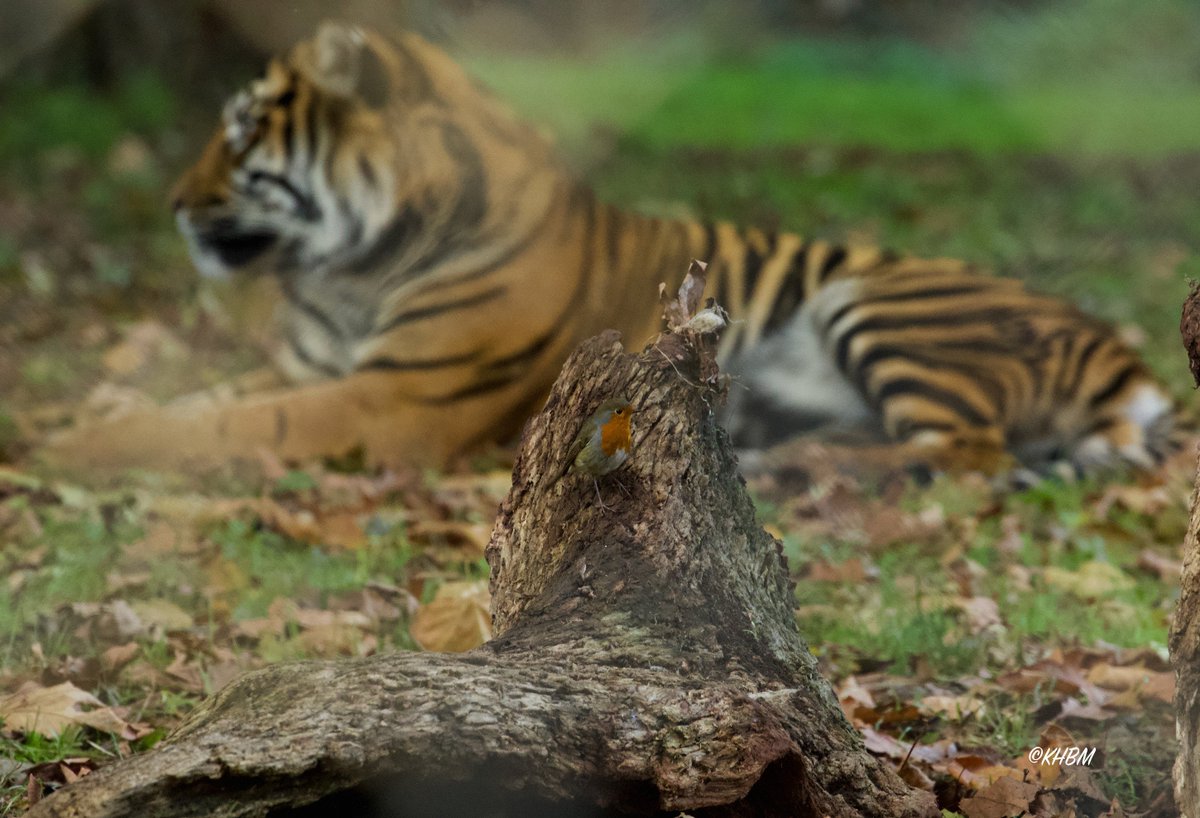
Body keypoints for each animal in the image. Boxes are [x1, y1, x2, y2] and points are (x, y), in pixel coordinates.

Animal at [41, 21, 1174, 478]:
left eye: (239, 133)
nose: (174, 204)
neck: (351, 267)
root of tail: (1128, 352)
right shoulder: (319, 368)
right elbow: (205, 401)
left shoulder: (395, 399)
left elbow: (221, 425)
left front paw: (68, 444)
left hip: (872, 302)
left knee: (965, 450)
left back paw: (811, 470)